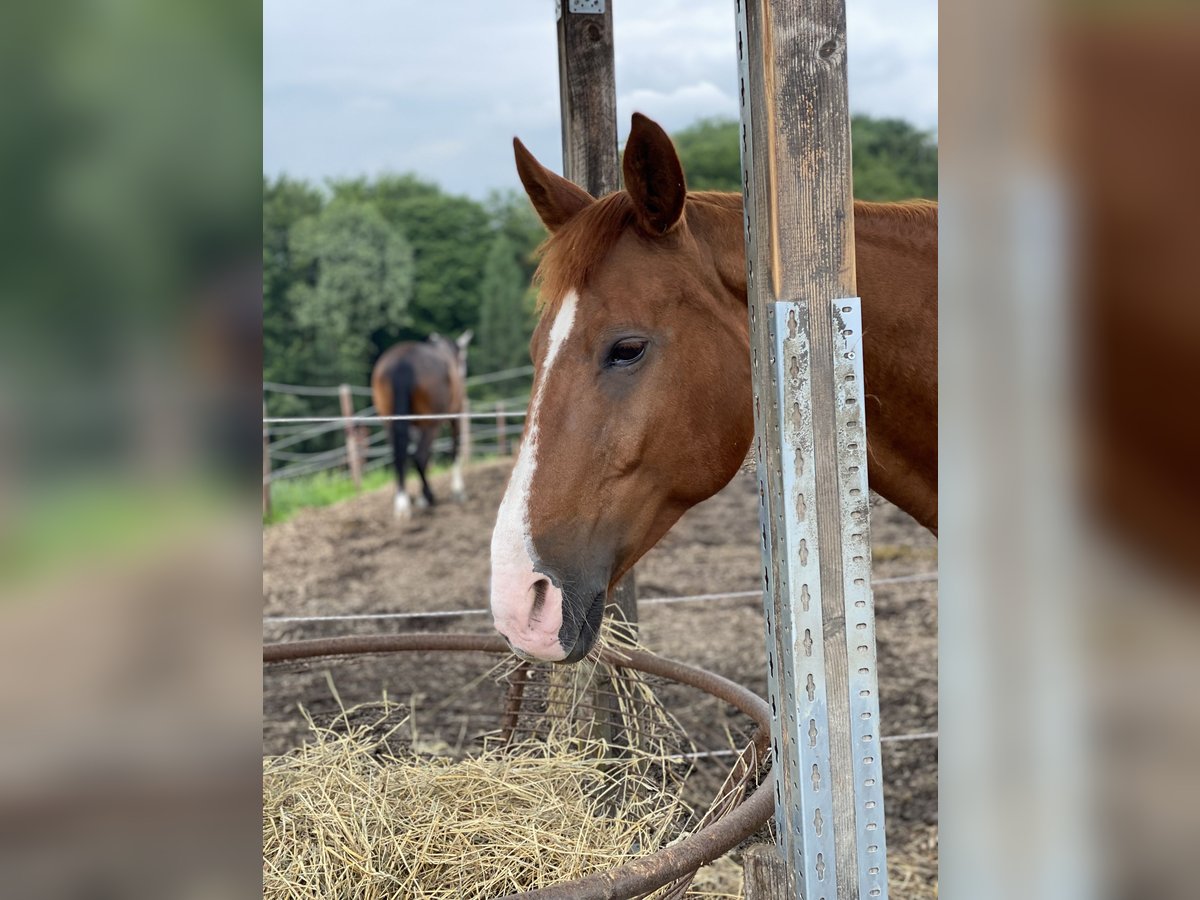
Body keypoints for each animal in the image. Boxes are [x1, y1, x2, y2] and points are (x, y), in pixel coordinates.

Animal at [371, 331, 472, 518]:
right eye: (463, 358)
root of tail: (402, 362)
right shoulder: (456, 414)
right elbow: (454, 449)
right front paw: (458, 490)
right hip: (430, 423)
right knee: (420, 455)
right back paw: (427, 497)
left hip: (390, 423)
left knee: (400, 455)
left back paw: (402, 500)